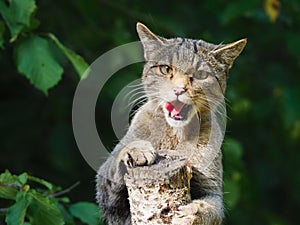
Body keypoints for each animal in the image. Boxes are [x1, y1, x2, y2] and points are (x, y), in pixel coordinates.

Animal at [96, 22, 246, 224]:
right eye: (166, 69)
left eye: (201, 74)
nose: (179, 89)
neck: (175, 135)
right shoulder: (109, 200)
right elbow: (116, 162)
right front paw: (136, 150)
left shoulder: (212, 190)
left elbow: (210, 209)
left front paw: (192, 214)